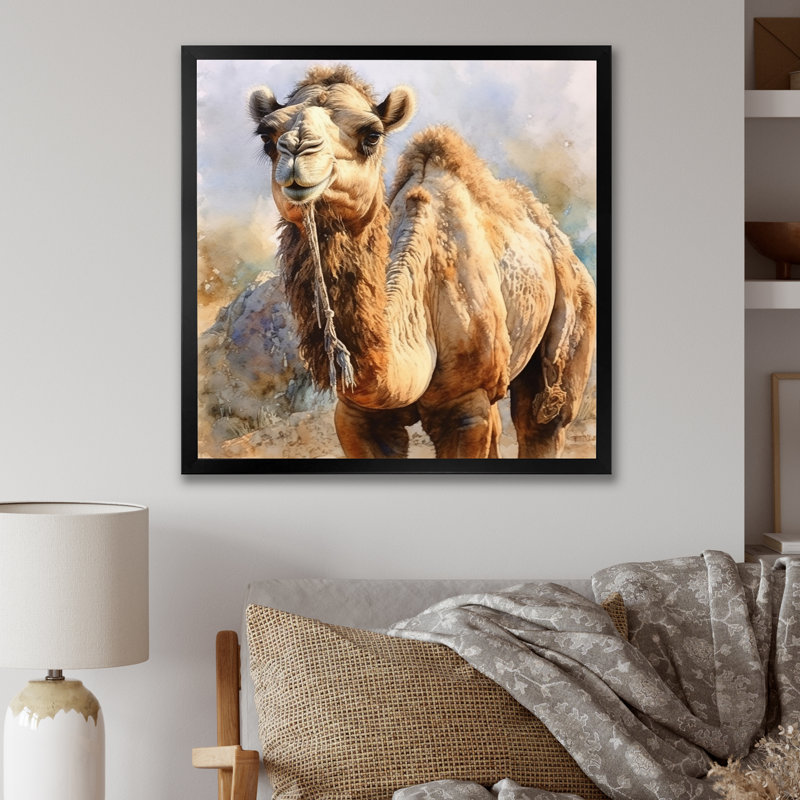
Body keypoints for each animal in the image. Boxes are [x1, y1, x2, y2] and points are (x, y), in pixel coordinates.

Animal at [248, 65, 596, 459]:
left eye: (372, 136)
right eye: (267, 136)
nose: (297, 149)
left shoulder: (465, 404)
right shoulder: (356, 413)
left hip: (574, 310)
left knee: (542, 418)